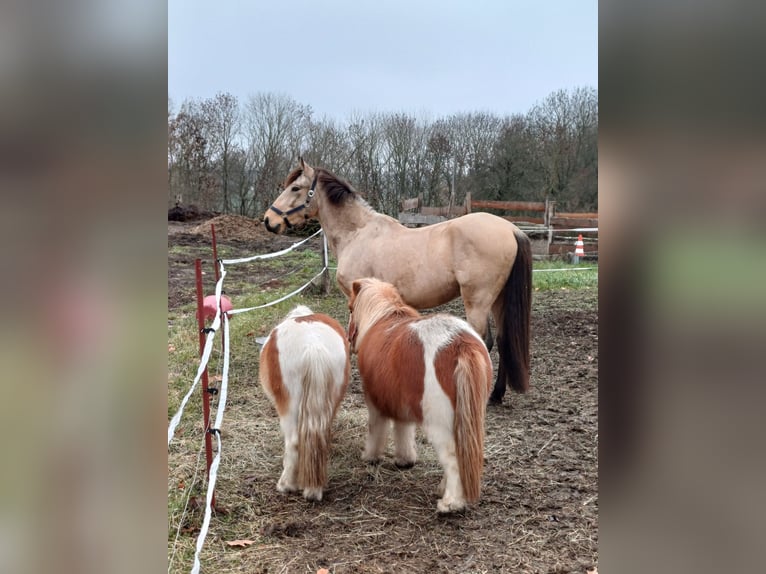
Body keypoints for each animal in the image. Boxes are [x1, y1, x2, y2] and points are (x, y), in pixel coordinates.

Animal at [263, 158, 532, 404]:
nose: (268, 220)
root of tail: (511, 229)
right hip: (497, 300)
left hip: (477, 301)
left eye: (295, 188)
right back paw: (496, 395)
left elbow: (356, 338)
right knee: (503, 341)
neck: (357, 233)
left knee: (484, 341)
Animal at [347, 277, 493, 513]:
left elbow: (376, 430)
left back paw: (451, 503)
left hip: (439, 425)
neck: (383, 317)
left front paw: (371, 456)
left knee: (452, 458)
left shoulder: (374, 402)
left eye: (350, 308)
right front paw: (404, 460)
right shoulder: (401, 405)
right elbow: (403, 431)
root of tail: (461, 345)